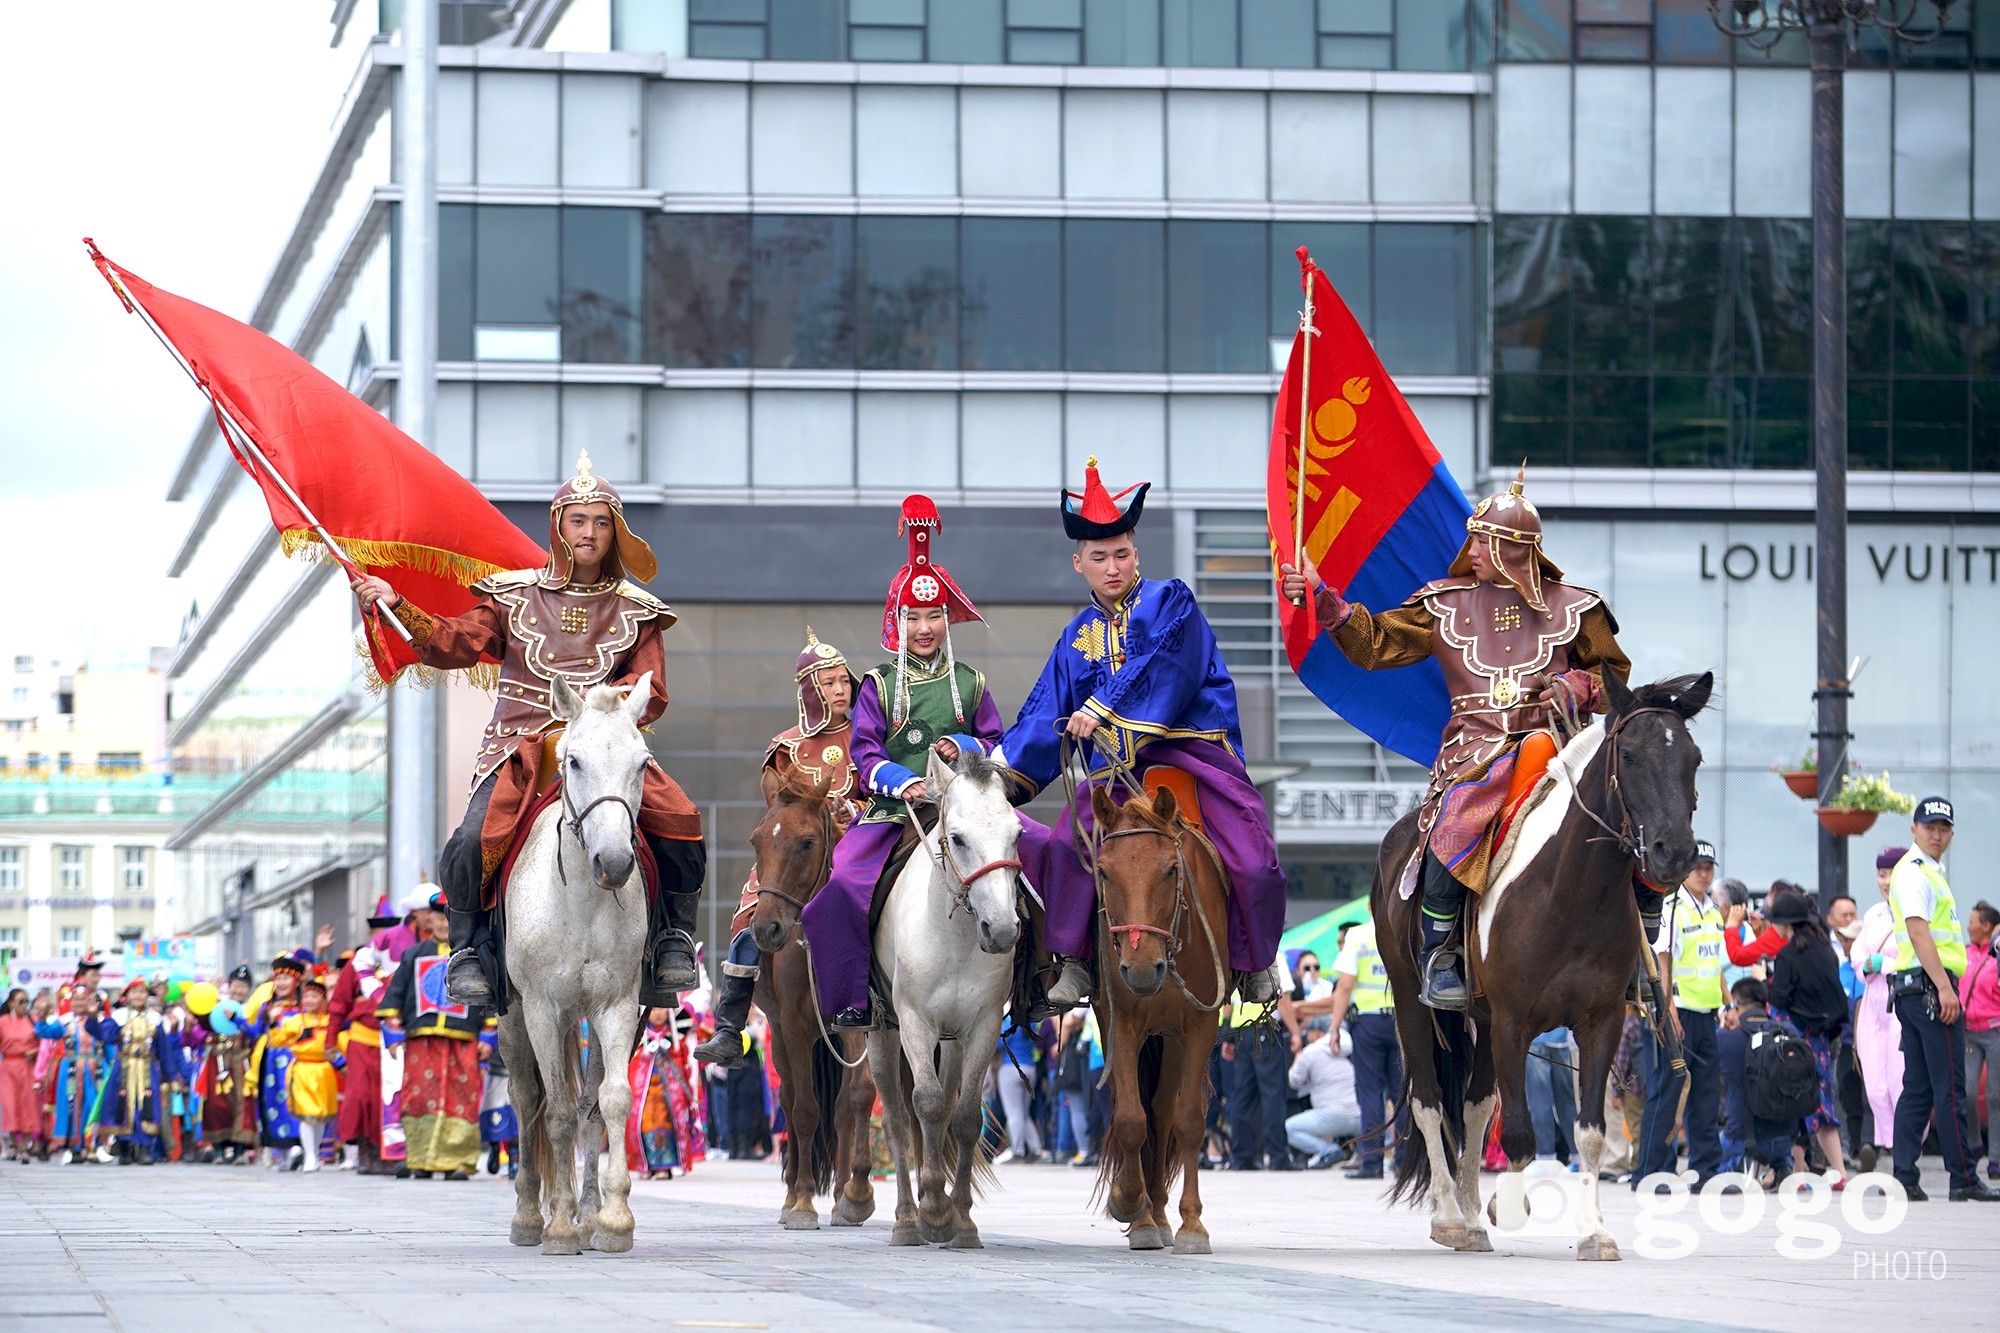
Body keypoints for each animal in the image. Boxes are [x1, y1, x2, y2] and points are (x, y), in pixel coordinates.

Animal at [496, 676, 652, 1256]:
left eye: (643, 763)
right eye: (576, 761)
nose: (615, 862)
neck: (582, 901)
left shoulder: (617, 1004)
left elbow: (610, 1102)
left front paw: (612, 1219)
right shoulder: (542, 1008)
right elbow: (556, 1113)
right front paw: (558, 1225)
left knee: (588, 1106)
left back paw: (587, 1216)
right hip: (515, 1016)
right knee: (526, 1100)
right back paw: (529, 1216)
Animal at [748, 764, 880, 1232]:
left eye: (807, 842)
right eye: (757, 840)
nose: (766, 928)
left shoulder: (855, 1019)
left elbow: (857, 1097)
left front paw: (856, 1194)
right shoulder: (792, 1024)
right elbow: (804, 1109)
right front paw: (803, 1203)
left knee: (838, 1108)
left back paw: (840, 1194)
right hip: (777, 1032)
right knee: (789, 1100)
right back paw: (791, 1197)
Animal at [872, 748, 1032, 1248]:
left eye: (1017, 834)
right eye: (958, 838)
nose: (1001, 930)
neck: (957, 936)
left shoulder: (980, 1025)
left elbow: (961, 1117)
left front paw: (959, 1219)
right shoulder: (914, 1021)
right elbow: (925, 1103)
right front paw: (933, 1211)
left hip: (953, 1041)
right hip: (880, 1031)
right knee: (896, 1121)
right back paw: (906, 1218)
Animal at [1088, 772, 1224, 1248]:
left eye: (1170, 869)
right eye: (1104, 871)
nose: (1143, 969)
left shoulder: (1201, 1023)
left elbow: (1189, 1121)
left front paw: (1192, 1224)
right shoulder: (1120, 1022)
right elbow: (1131, 1118)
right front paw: (1131, 1204)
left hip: (1173, 1036)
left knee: (1165, 1111)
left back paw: (1165, 1214)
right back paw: (1150, 1214)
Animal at [1376, 668, 1720, 1264]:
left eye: (1694, 758)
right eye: (1630, 754)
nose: (1674, 853)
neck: (1574, 893)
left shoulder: (1601, 1022)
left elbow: (1588, 1132)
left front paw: (1594, 1232)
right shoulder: (1513, 1023)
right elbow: (1517, 1132)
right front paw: (1509, 1207)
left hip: (1482, 1019)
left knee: (1473, 1106)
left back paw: (1471, 1217)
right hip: (1410, 998)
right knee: (1429, 1101)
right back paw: (1450, 1216)